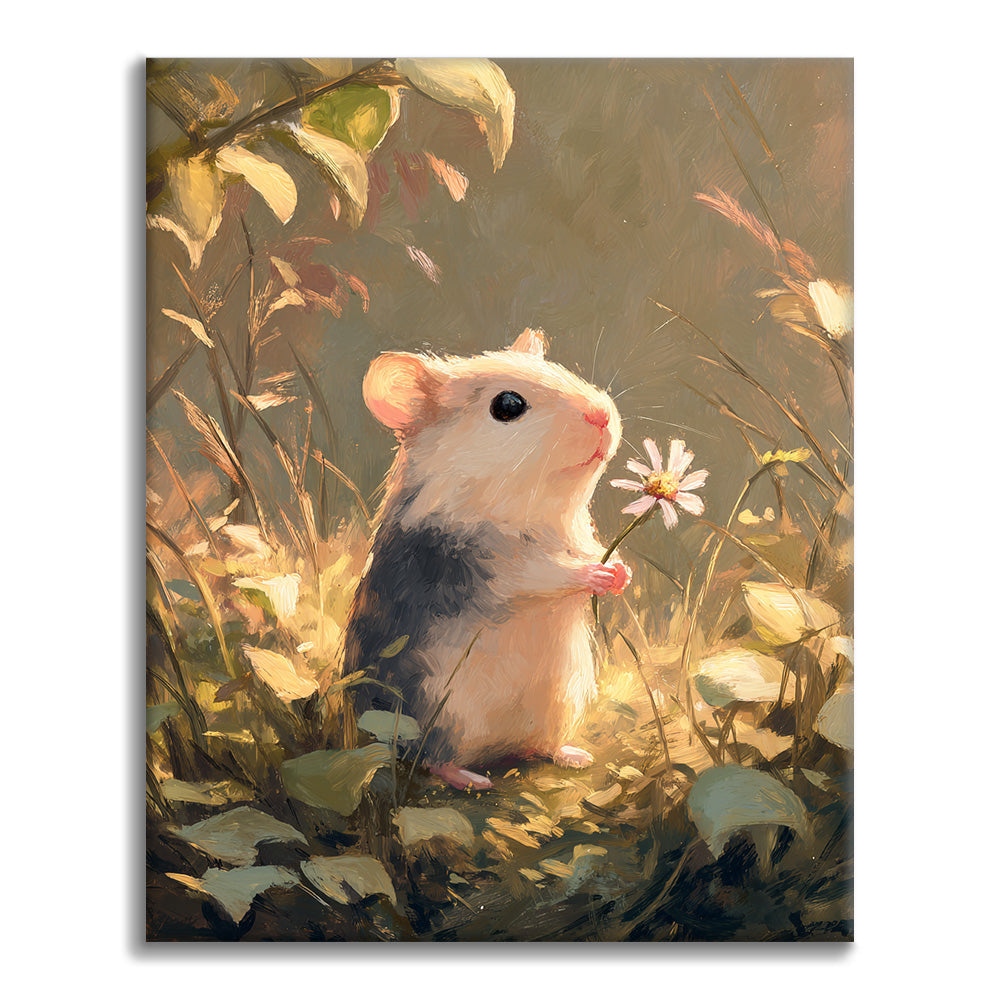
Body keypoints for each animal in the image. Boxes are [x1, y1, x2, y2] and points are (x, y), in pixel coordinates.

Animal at [345, 327, 630, 791]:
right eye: (507, 406)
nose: (602, 416)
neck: (532, 507)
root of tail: (494, 752)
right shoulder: (482, 566)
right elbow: (545, 573)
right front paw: (601, 574)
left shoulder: (578, 535)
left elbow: (588, 552)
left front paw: (622, 571)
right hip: (436, 712)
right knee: (432, 759)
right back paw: (472, 779)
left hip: (560, 702)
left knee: (540, 746)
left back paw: (574, 755)